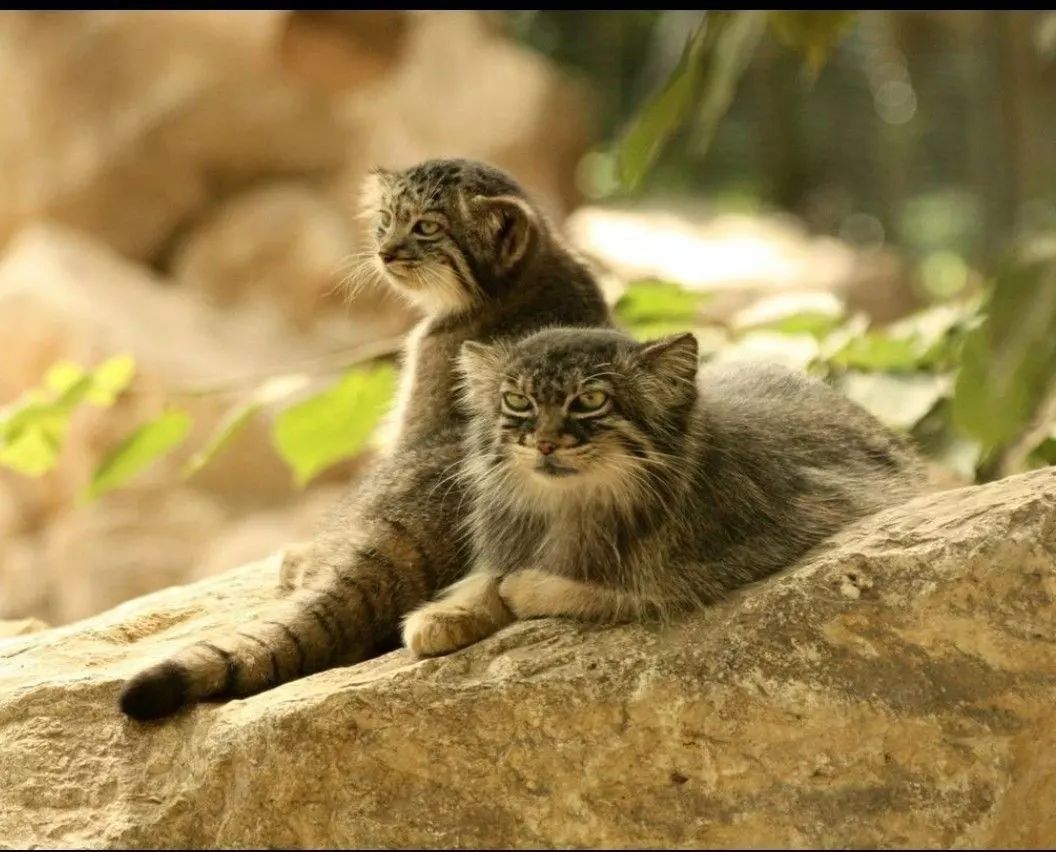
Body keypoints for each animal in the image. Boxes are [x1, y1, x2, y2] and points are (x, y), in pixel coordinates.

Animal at [401, 325, 925, 654]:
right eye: (516, 401)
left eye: (591, 400)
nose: (545, 442)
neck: (575, 505)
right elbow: (482, 580)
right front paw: (446, 613)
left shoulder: (727, 564)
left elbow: (605, 591)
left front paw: (524, 587)